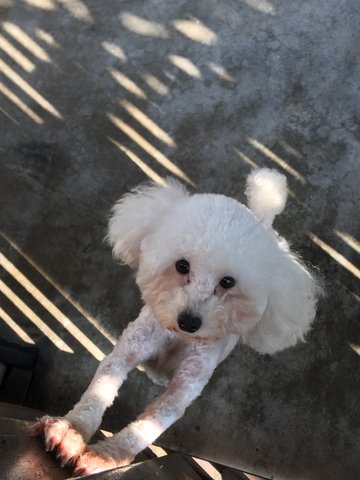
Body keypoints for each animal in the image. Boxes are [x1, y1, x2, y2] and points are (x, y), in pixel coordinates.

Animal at [33, 169, 320, 476]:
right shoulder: (130, 348)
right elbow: (100, 388)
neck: (179, 337)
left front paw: (106, 456)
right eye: (182, 265)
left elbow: (151, 423)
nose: (190, 321)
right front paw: (71, 432)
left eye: (228, 282)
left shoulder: (186, 386)